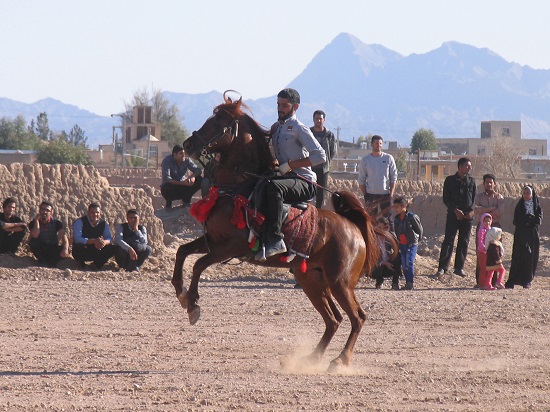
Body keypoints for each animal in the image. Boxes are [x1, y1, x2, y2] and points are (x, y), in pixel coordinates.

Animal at [172, 92, 384, 370]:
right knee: (333, 319)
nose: (188, 144)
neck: (240, 188)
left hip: (340, 282)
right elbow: (182, 251)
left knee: (357, 317)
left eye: (219, 122)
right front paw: (181, 292)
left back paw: (340, 360)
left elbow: (197, 265)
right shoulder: (213, 241)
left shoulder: (230, 247)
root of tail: (354, 230)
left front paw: (193, 304)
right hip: (312, 280)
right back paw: (311, 358)